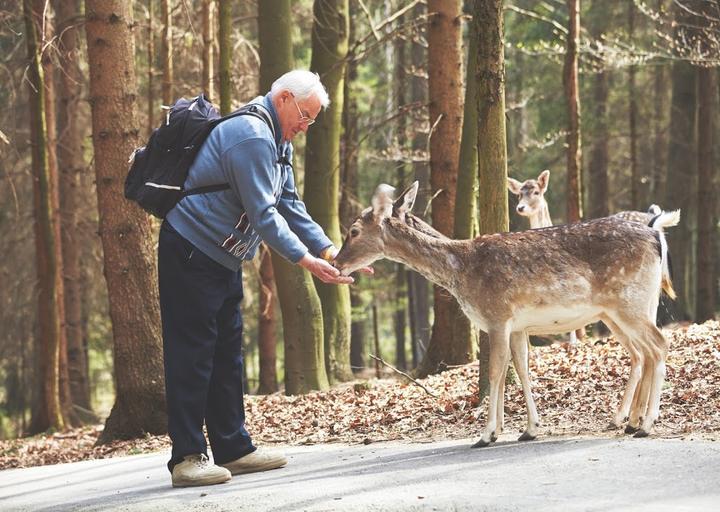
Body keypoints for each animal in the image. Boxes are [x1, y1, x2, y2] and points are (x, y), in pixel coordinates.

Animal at [334, 182, 676, 446]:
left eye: (353, 230)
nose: (337, 263)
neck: (461, 272)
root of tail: (655, 234)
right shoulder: (515, 324)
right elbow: (521, 368)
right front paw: (528, 429)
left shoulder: (496, 314)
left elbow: (495, 372)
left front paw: (487, 434)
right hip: (633, 306)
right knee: (646, 351)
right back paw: (633, 421)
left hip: (628, 303)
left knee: (659, 345)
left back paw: (644, 425)